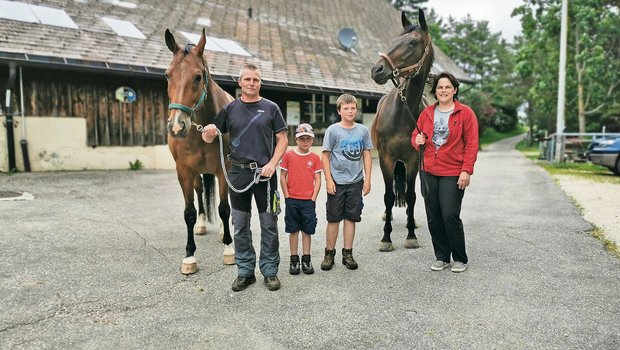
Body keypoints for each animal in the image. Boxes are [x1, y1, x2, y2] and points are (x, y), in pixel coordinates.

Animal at [165, 28, 235, 274]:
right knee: (200, 193)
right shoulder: (184, 172)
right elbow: (189, 213)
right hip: (196, 174)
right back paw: (203, 225)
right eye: (168, 75)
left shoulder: (224, 171)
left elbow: (224, 209)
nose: (177, 126)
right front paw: (189, 256)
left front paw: (229, 249)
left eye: (197, 77)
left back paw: (224, 231)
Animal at [370, 10, 434, 252]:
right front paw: (386, 238)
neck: (402, 113)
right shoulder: (386, 159)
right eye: (394, 41)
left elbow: (412, 195)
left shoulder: (413, 160)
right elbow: (389, 196)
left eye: (413, 42)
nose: (377, 70)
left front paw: (411, 235)